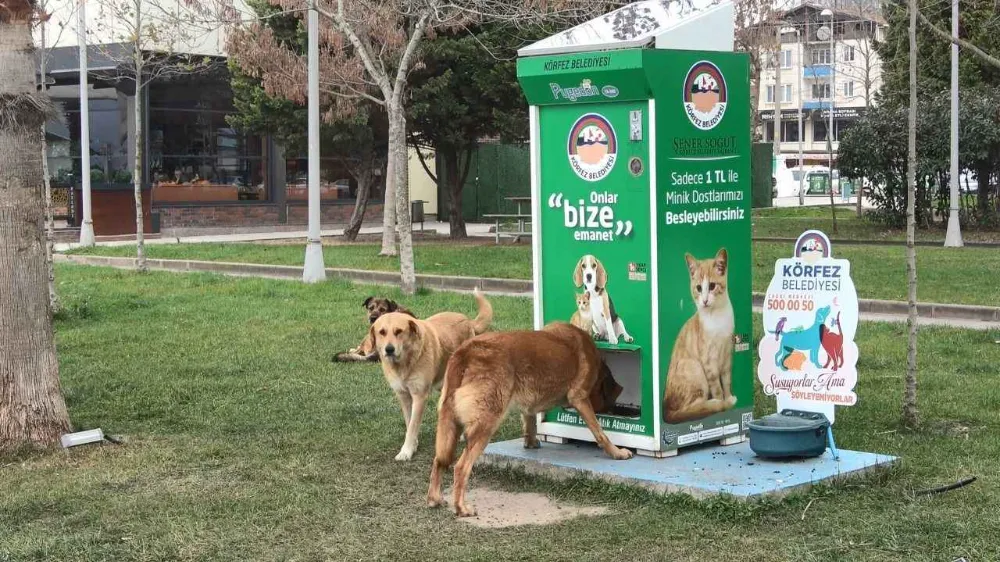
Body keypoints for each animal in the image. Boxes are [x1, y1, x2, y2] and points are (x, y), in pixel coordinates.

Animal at [370, 288, 494, 460]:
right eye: (381, 332)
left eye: (399, 331)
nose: (389, 349)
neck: (406, 362)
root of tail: (467, 320)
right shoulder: (404, 396)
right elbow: (409, 423)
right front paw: (413, 445)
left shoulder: (419, 396)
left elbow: (413, 425)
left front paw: (406, 451)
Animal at [428, 320, 632, 516]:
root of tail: (465, 351)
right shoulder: (580, 398)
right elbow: (600, 432)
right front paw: (617, 453)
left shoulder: (530, 400)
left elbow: (530, 421)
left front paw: (531, 442)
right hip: (486, 422)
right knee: (461, 467)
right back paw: (461, 507)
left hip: (449, 423)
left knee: (439, 459)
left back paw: (434, 499)